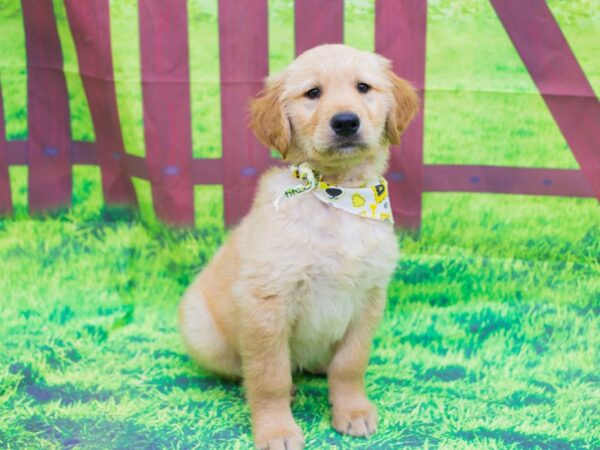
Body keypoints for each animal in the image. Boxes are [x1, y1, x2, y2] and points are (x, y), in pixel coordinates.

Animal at [180, 43, 420, 450]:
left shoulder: (369, 298)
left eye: (363, 87)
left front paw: (353, 410)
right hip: (202, 329)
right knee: (245, 370)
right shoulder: (267, 303)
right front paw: (276, 430)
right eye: (313, 93)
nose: (346, 122)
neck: (338, 195)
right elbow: (269, 377)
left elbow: (351, 363)